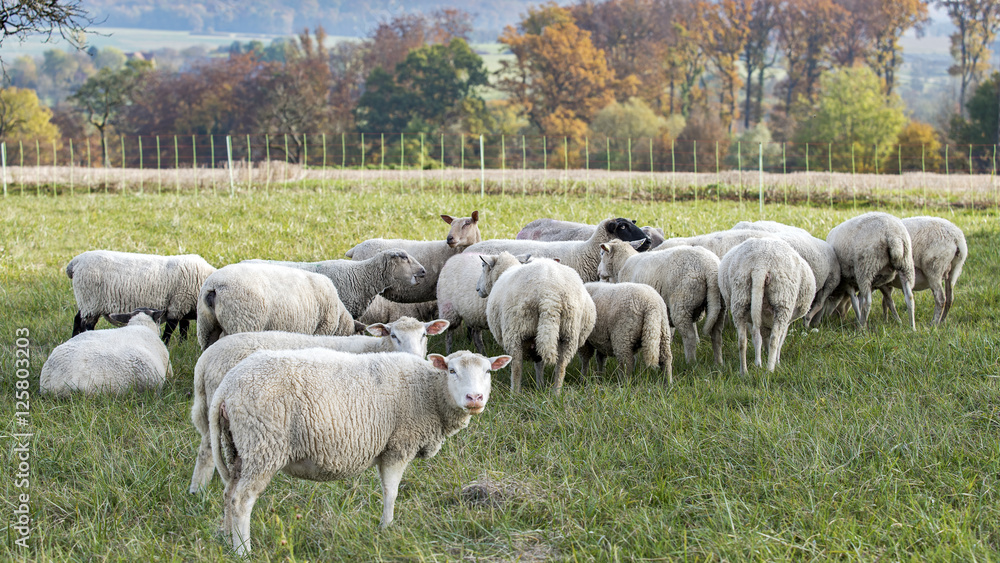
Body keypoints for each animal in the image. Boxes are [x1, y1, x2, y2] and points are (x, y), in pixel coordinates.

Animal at [66, 250, 216, 344]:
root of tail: (75, 262)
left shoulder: (182, 307)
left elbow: (183, 329)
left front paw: (182, 345)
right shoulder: (177, 306)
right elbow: (169, 331)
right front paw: (166, 345)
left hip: (86, 302)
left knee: (77, 319)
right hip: (90, 302)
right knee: (86, 324)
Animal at [188, 317, 450, 494]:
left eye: (424, 335)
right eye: (394, 335)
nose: (414, 357)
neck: (374, 347)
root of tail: (204, 362)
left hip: (211, 409)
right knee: (208, 452)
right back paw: (200, 491)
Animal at [210, 349, 511, 557]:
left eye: (488, 371)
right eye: (451, 370)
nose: (474, 398)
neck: (429, 390)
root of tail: (226, 387)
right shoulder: (398, 445)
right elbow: (391, 491)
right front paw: (386, 528)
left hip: (239, 449)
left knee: (228, 494)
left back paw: (227, 540)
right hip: (263, 445)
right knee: (241, 500)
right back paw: (244, 551)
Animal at [477, 252, 596, 394]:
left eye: (483, 265)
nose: (477, 289)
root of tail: (550, 293)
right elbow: (539, 364)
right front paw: (540, 386)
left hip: (515, 329)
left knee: (517, 365)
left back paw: (515, 393)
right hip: (569, 333)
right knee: (561, 366)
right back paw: (556, 393)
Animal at [718, 238, 817, 376]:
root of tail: (761, 263)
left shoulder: (751, 319)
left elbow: (757, 339)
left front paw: (758, 362)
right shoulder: (786, 323)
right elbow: (780, 339)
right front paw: (777, 361)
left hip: (740, 298)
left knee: (742, 340)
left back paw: (744, 372)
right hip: (783, 301)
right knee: (774, 339)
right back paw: (770, 370)